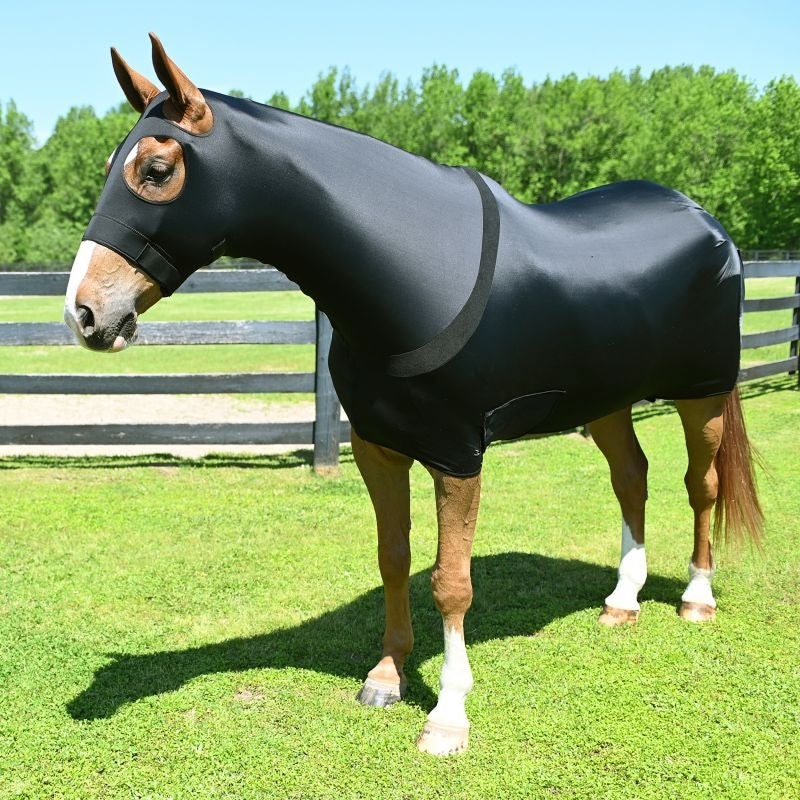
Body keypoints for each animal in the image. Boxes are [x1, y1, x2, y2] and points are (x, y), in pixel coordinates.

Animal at [63, 34, 763, 756]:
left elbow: (450, 583)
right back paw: (622, 600)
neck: (414, 271)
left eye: (155, 169)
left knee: (702, 484)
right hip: (607, 402)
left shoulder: (458, 456)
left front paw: (448, 715)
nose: (84, 313)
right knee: (632, 478)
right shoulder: (379, 446)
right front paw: (386, 676)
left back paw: (696, 597)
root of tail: (706, 221)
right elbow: (393, 559)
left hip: (703, 393)